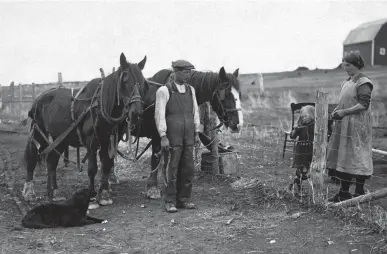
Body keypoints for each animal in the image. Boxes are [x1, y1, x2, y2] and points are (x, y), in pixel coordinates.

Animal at [22, 53, 149, 208]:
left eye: (143, 82)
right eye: (125, 81)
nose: (136, 113)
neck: (101, 106)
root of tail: (40, 97)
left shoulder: (109, 141)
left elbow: (107, 165)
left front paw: (104, 194)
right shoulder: (91, 142)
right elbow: (92, 169)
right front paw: (92, 196)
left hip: (60, 138)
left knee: (52, 161)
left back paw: (54, 192)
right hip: (38, 133)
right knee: (32, 157)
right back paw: (29, 193)